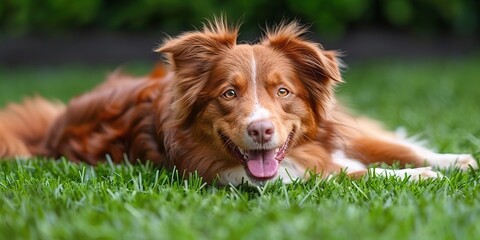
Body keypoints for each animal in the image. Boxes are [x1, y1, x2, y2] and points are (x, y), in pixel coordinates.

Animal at [1, 18, 478, 185]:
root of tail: (51, 127)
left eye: (283, 91)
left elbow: (396, 148)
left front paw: (456, 161)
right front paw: (420, 178)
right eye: (228, 94)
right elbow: (359, 173)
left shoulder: (336, 134)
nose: (261, 130)